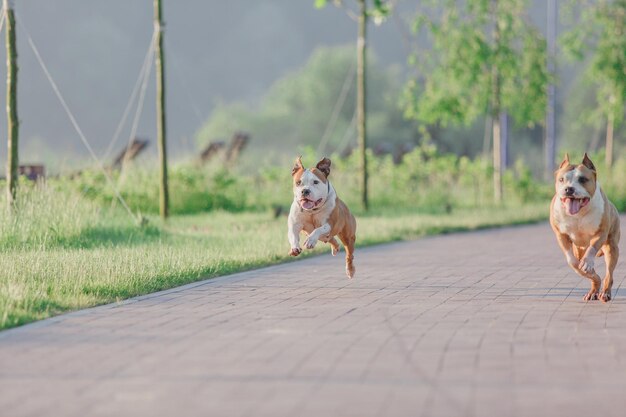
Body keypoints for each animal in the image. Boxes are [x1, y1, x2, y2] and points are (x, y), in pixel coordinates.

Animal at [548, 151, 616, 300]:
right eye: (561, 179)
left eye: (583, 179)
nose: (569, 189)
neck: (578, 214)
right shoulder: (561, 235)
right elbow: (573, 262)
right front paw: (585, 270)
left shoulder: (601, 233)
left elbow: (592, 248)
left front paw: (587, 262)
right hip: (578, 249)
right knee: (593, 275)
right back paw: (593, 290)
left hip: (611, 247)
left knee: (609, 273)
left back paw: (605, 292)